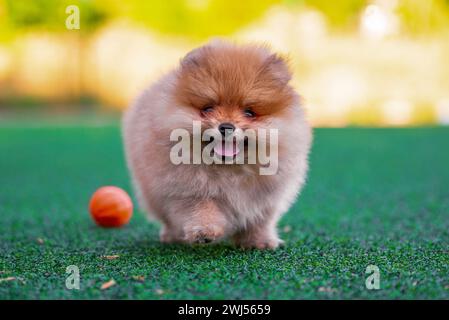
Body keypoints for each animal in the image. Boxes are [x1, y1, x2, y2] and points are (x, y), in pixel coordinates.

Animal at [122, 40, 312, 249]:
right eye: (208, 109)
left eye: (249, 113)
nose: (226, 126)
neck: (230, 171)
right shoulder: (187, 191)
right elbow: (202, 209)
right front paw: (204, 232)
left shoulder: (264, 201)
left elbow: (259, 221)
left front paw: (259, 242)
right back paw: (173, 236)